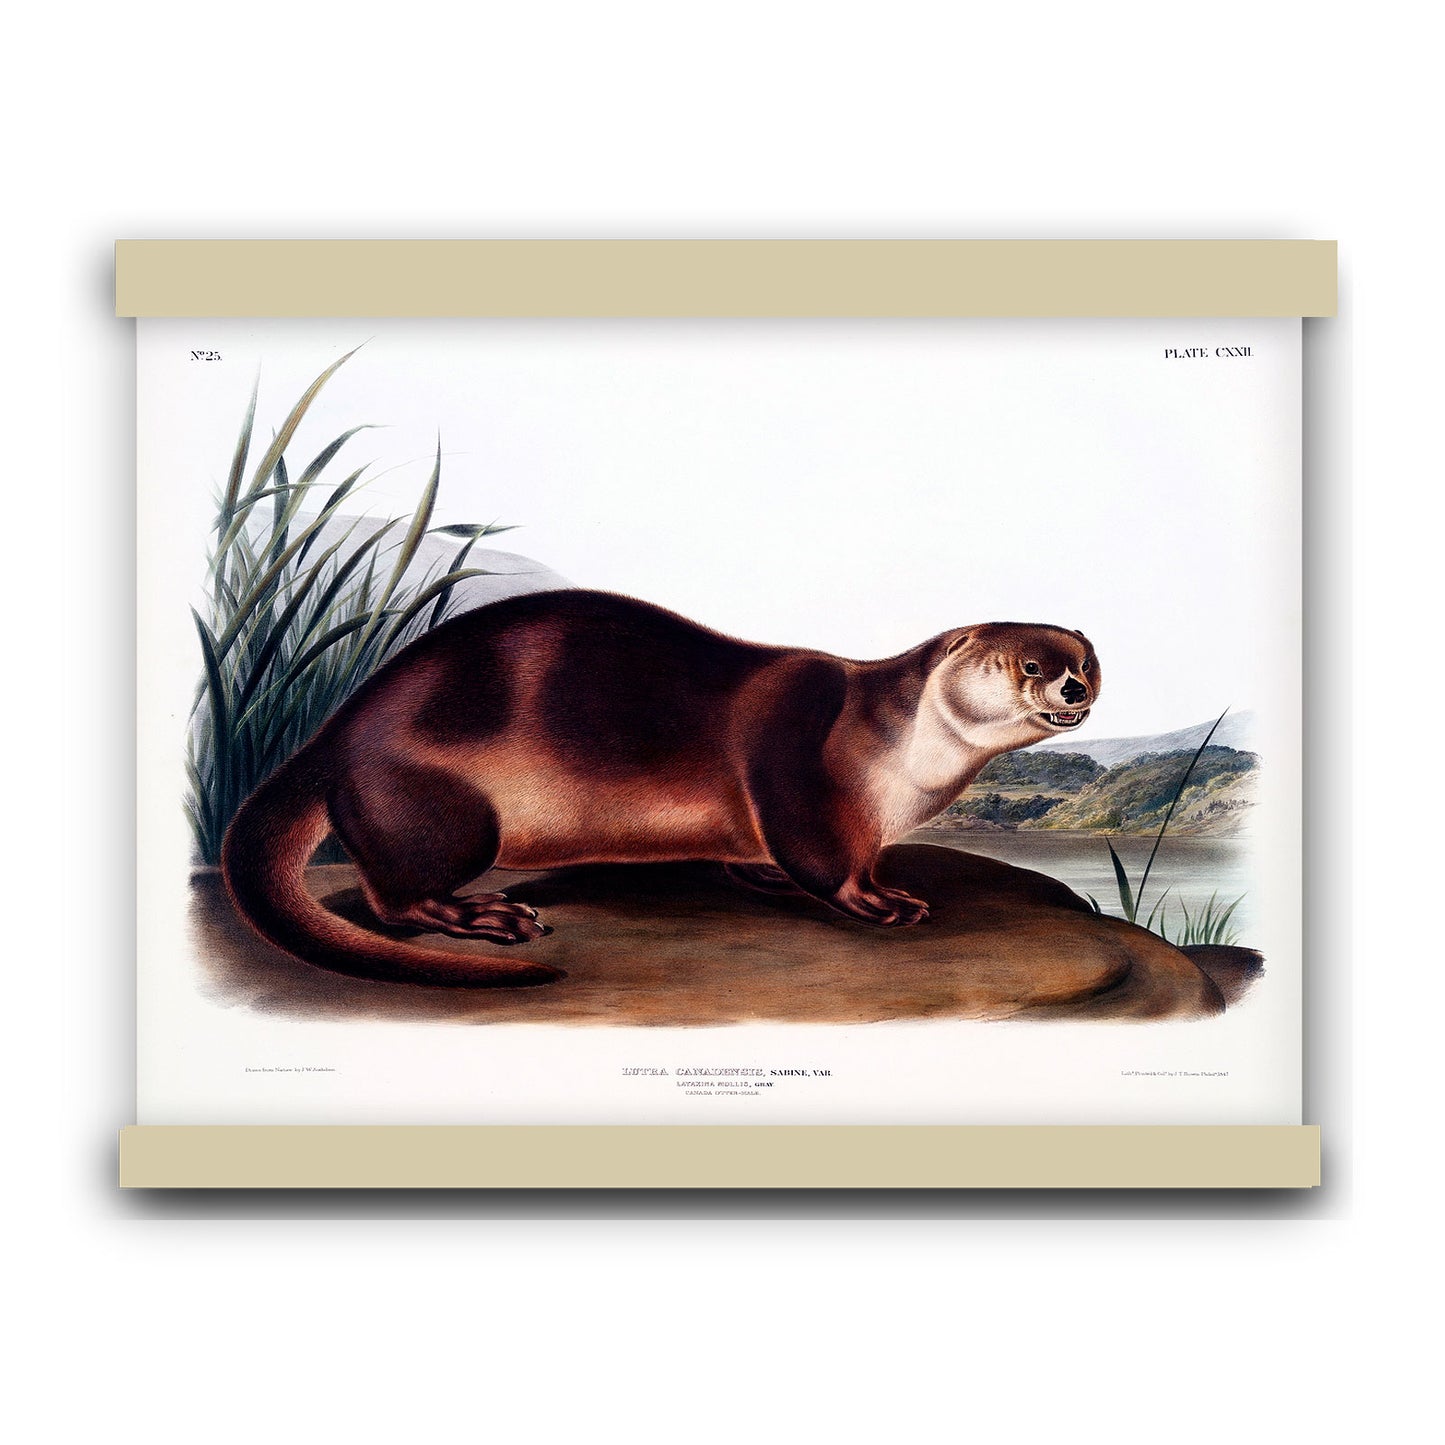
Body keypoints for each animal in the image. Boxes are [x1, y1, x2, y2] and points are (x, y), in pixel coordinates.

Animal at [221, 590, 1100, 988]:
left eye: (1086, 661)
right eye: (1028, 663)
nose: (1073, 689)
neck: (896, 751)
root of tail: (336, 731)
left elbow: (761, 852)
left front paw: (763, 875)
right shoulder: (799, 760)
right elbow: (822, 855)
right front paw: (881, 898)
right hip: (440, 803)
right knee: (395, 893)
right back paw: (484, 915)